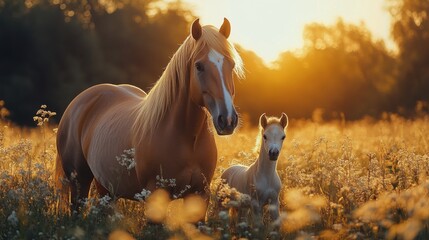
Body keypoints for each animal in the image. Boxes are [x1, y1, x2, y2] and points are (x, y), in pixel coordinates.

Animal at [56, 17, 242, 211]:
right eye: (199, 66)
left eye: (232, 65)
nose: (228, 119)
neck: (185, 138)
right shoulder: (155, 195)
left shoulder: (200, 196)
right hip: (79, 184)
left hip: (106, 188)